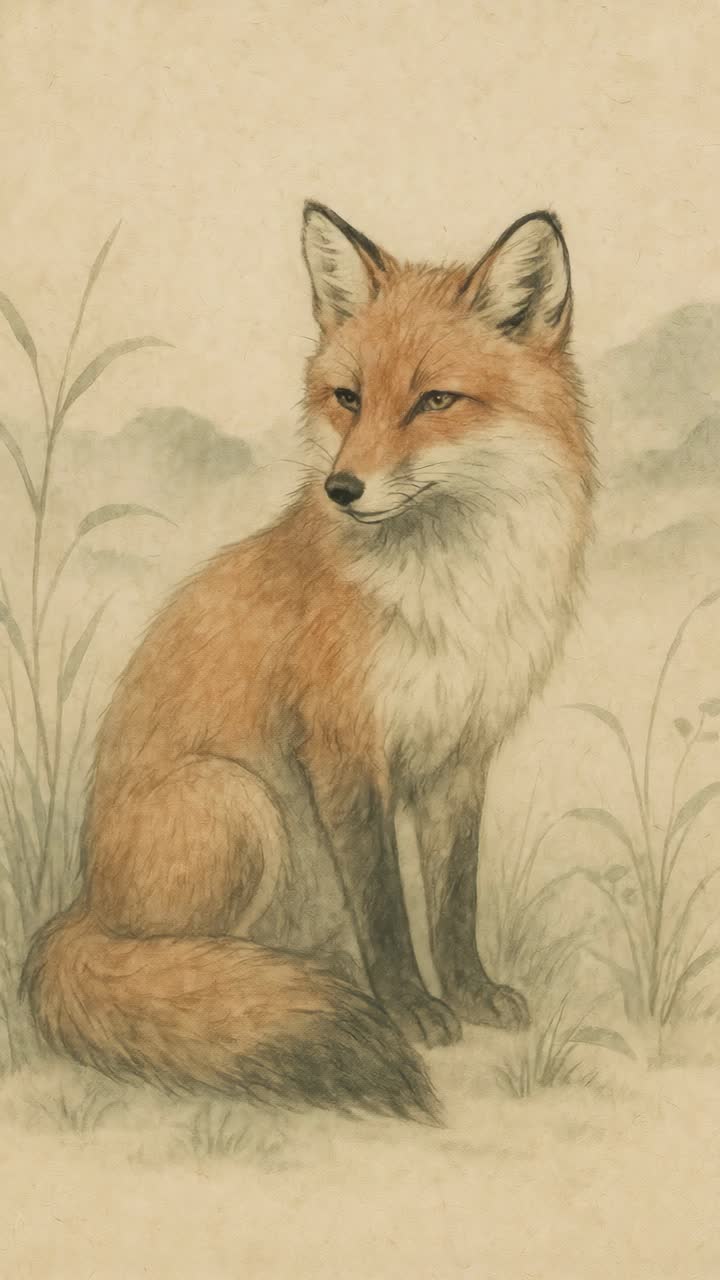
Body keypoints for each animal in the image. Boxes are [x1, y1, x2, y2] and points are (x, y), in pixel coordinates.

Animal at [22, 202, 594, 1122]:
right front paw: (410, 1009)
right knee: (177, 966)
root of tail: (81, 907)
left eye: (435, 400)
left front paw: (471, 994)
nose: (342, 490)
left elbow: (453, 900)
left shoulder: (461, 757)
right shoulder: (343, 750)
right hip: (240, 802)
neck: (449, 598)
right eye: (348, 398)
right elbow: (387, 908)